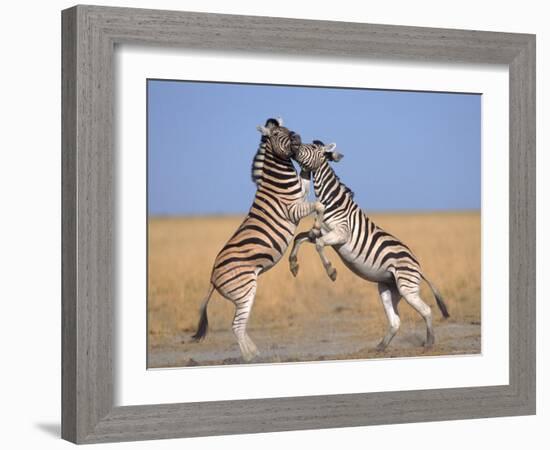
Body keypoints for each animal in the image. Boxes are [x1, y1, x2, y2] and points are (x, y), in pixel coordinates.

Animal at [193, 118, 328, 360]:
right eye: (275, 133)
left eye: (288, 129)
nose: (297, 137)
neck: (279, 181)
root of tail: (212, 278)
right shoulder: (292, 209)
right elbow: (319, 206)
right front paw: (315, 228)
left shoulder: (300, 195)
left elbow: (306, 182)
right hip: (245, 289)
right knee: (236, 326)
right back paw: (249, 358)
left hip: (243, 293)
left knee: (240, 325)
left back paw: (255, 353)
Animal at [286, 139, 450, 350]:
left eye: (313, 148)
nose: (294, 145)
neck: (331, 201)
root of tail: (418, 267)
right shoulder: (321, 231)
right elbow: (300, 238)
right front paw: (293, 265)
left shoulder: (341, 233)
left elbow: (319, 245)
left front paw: (331, 272)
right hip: (389, 289)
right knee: (395, 321)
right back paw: (381, 347)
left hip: (407, 287)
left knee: (426, 310)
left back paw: (429, 343)